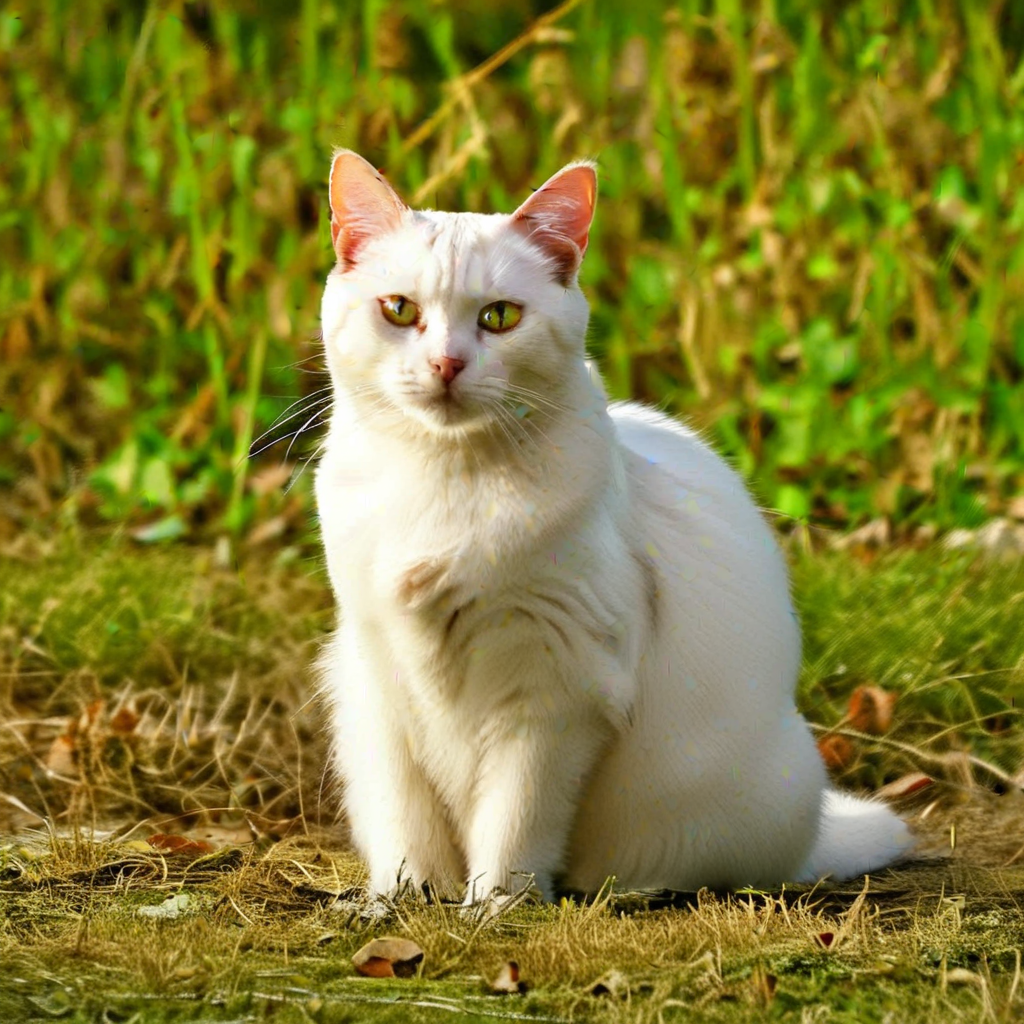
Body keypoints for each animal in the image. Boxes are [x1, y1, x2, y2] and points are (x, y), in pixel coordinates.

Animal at [313, 151, 913, 905]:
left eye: (499, 317)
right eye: (400, 310)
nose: (446, 364)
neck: (443, 483)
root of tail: (810, 836)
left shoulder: (556, 694)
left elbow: (512, 823)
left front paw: (493, 909)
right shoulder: (380, 678)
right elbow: (405, 823)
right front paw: (401, 901)